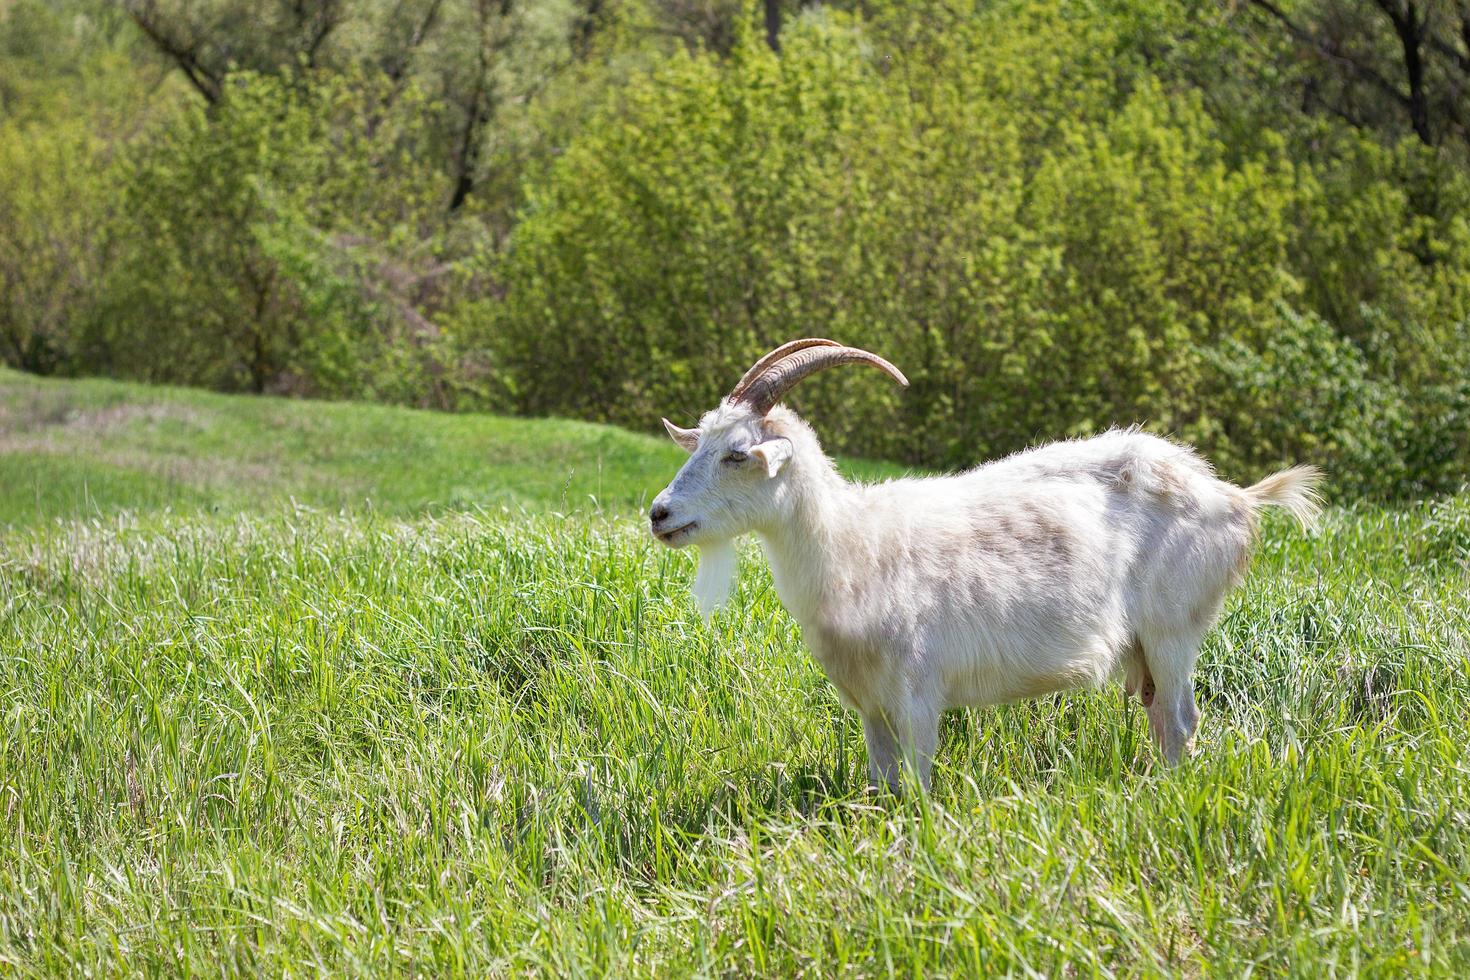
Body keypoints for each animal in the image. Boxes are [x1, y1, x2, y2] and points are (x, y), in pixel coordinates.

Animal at [649, 340, 1328, 793]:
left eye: (737, 454)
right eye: (701, 443)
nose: (659, 513)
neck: (854, 542)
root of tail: (1237, 498)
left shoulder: (917, 693)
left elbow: (917, 786)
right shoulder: (870, 706)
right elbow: (882, 784)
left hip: (1174, 627)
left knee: (1182, 721)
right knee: (1162, 716)